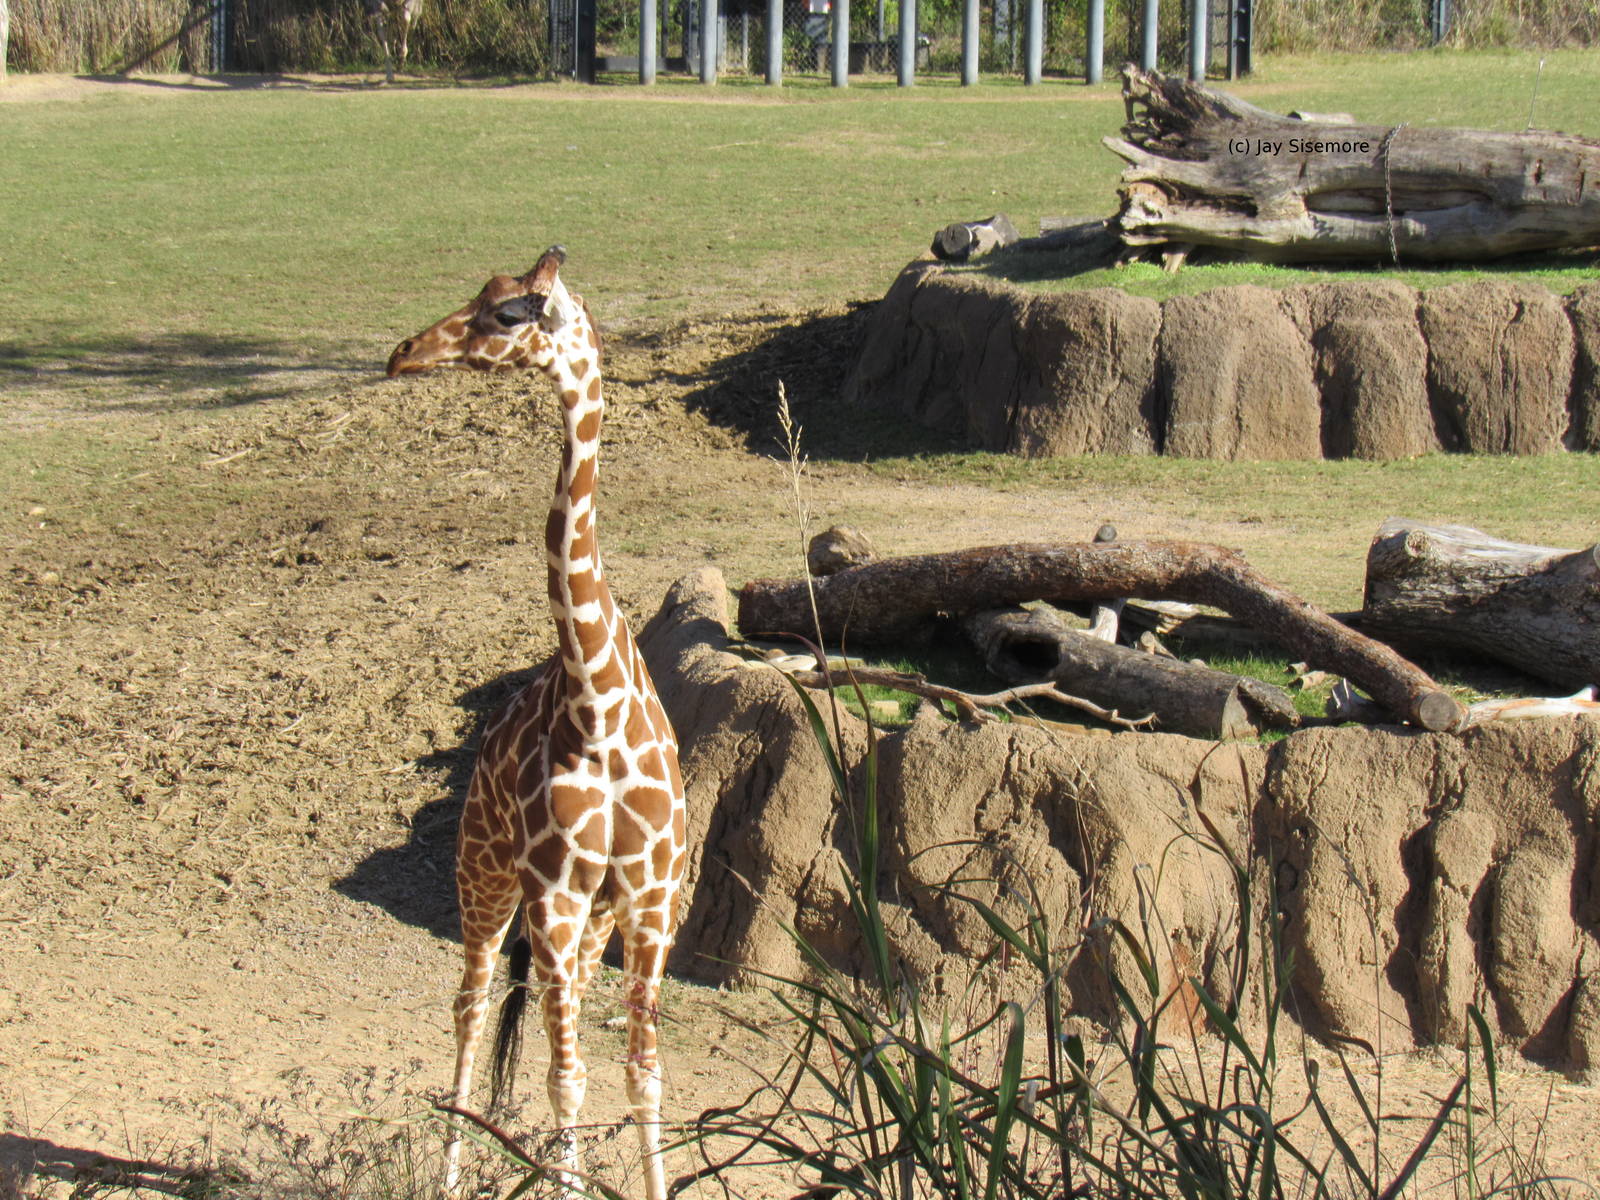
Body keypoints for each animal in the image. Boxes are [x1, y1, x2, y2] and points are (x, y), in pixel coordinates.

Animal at [386, 247, 687, 1200]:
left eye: (510, 311)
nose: (404, 352)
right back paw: (449, 1173)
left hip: (589, 921)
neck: (597, 697)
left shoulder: (649, 898)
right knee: (470, 1007)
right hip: (484, 879)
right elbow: (565, 1077)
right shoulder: (552, 895)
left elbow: (640, 1070)